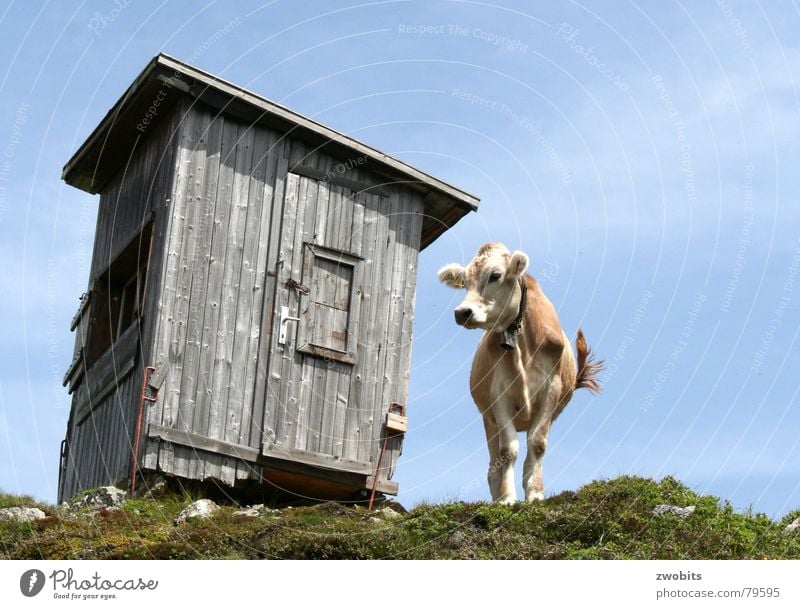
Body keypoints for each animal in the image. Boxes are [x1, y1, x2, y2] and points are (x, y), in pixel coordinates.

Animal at [440, 242, 604, 504]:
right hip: (489, 420)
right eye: (464, 281)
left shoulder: (551, 389)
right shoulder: (500, 394)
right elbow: (508, 451)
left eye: (495, 275)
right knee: (493, 464)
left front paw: (535, 493)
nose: (462, 312)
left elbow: (537, 444)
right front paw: (506, 498)